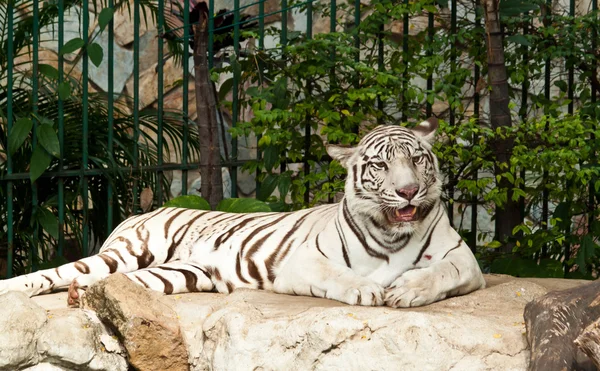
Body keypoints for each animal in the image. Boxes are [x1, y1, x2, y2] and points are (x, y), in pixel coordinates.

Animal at [0, 120, 486, 308]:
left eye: (418, 159)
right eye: (381, 165)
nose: (408, 191)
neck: (391, 232)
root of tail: (137, 213)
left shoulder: (466, 260)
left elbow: (443, 272)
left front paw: (407, 290)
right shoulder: (302, 261)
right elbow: (340, 275)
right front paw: (367, 290)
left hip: (180, 273)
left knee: (106, 283)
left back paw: (83, 298)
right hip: (126, 253)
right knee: (55, 273)